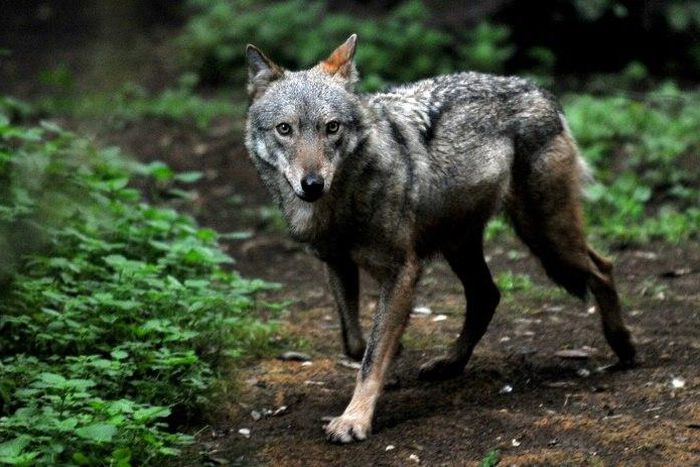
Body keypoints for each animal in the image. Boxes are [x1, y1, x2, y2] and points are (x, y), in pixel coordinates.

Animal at [244, 34, 636, 443]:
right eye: (284, 129)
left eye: (331, 127)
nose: (312, 184)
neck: (341, 205)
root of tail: (539, 90)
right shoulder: (336, 264)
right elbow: (355, 343)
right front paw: (392, 365)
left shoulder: (402, 272)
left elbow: (372, 355)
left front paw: (354, 419)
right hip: (466, 245)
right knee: (487, 295)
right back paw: (449, 364)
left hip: (546, 239)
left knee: (602, 267)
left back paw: (624, 347)